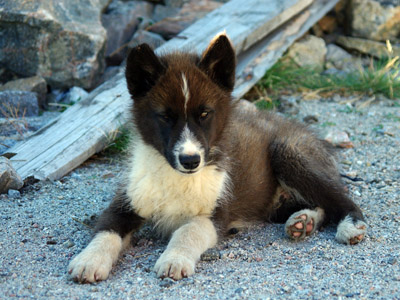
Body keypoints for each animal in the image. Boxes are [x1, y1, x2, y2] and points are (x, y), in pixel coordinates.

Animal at [68, 34, 366, 282]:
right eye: (165, 116)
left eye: (204, 114)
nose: (190, 160)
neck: (176, 177)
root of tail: (307, 133)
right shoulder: (127, 202)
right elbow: (106, 230)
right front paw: (88, 260)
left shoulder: (214, 215)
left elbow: (187, 231)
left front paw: (174, 259)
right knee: (319, 205)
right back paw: (303, 221)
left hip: (289, 153)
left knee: (339, 197)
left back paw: (349, 225)